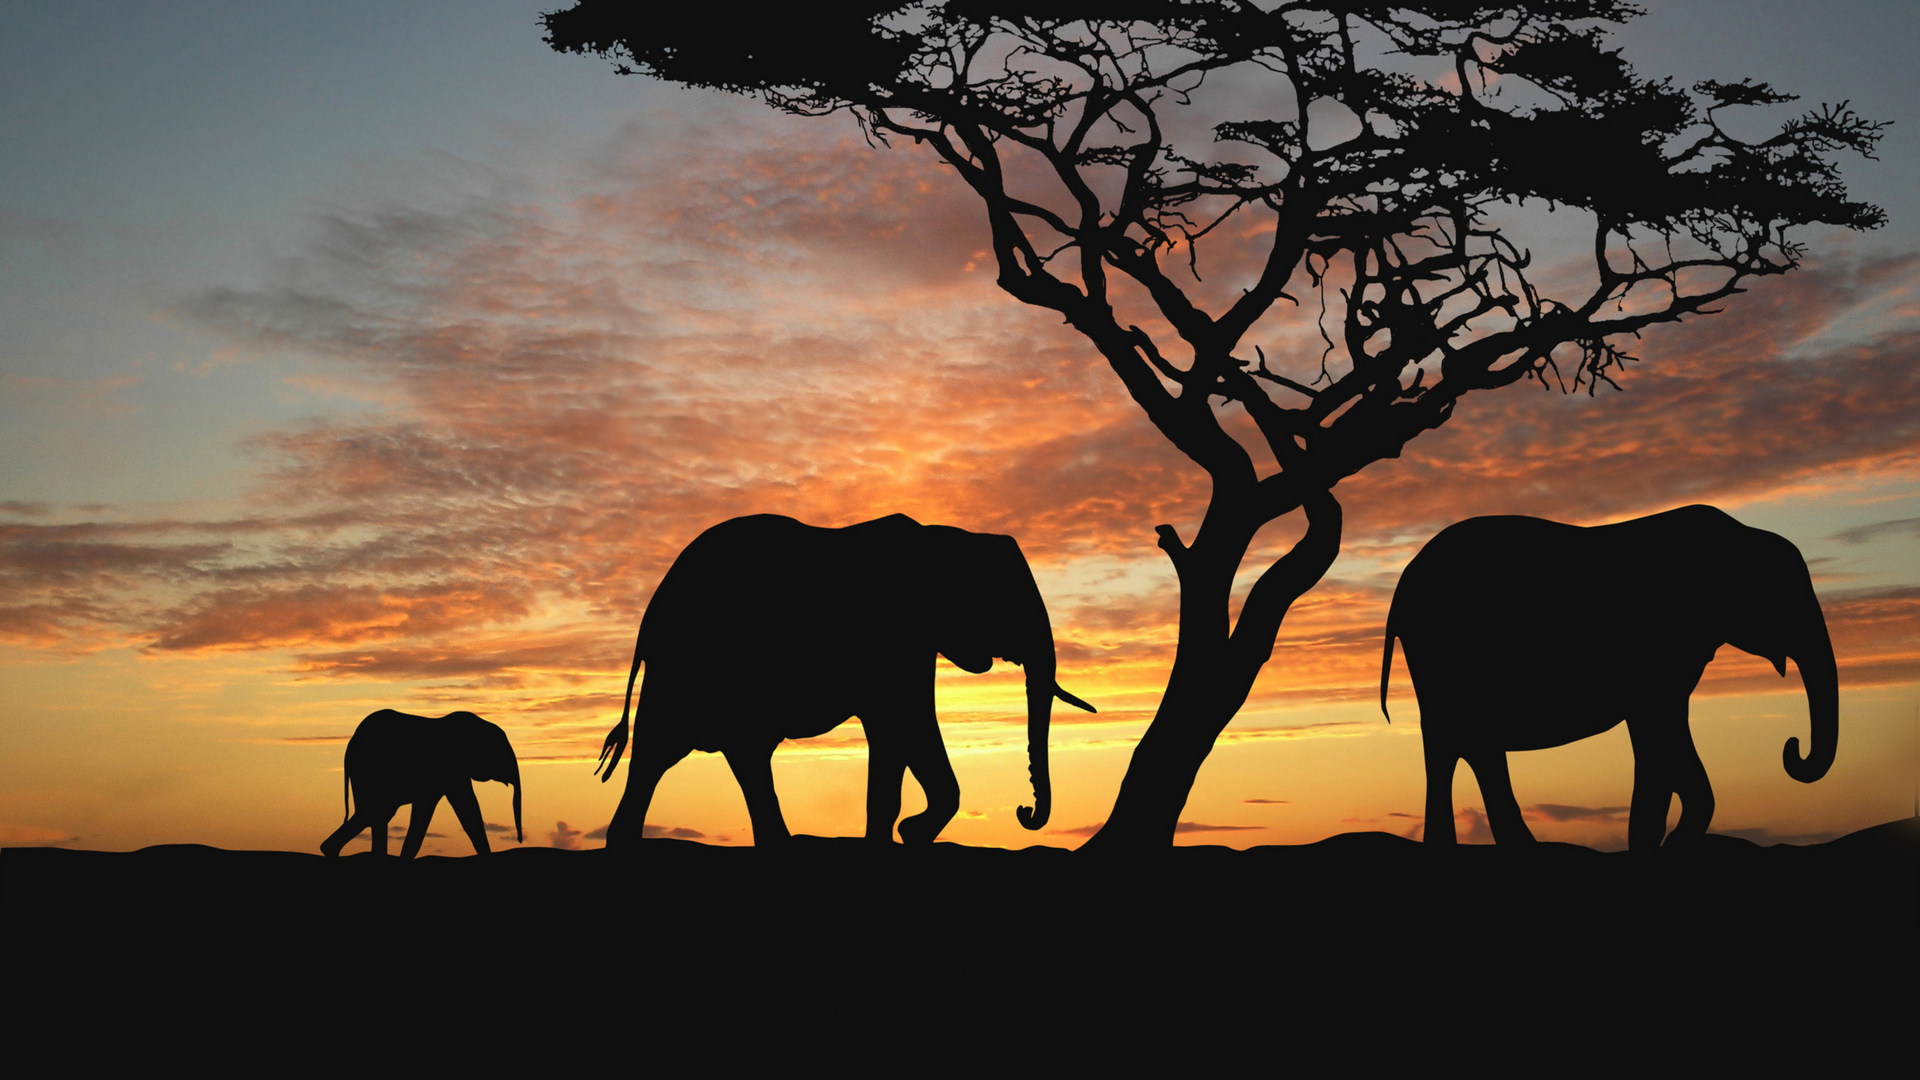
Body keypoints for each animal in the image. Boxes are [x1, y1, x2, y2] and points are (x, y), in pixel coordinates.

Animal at [320, 710, 523, 858]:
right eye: (502, 752)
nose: (520, 841)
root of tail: (349, 746)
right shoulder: (451, 770)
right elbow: (466, 808)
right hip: (368, 774)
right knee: (374, 813)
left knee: (376, 815)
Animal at [594, 513, 1095, 847]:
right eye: (1010, 603)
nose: (1025, 811)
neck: (945, 537)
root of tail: (649, 615)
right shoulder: (896, 640)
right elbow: (905, 724)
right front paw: (906, 833)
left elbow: (902, 734)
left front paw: (904, 835)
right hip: (688, 668)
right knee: (666, 752)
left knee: (721, 755)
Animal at [1379, 505, 1837, 850]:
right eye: (1785, 597)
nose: (1792, 748)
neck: (1738, 535)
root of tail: (1402, 585)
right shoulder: (1657, 653)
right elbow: (1659, 734)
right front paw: (1660, 843)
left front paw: (1663, 841)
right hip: (1443, 656)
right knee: (1456, 743)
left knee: (1466, 745)